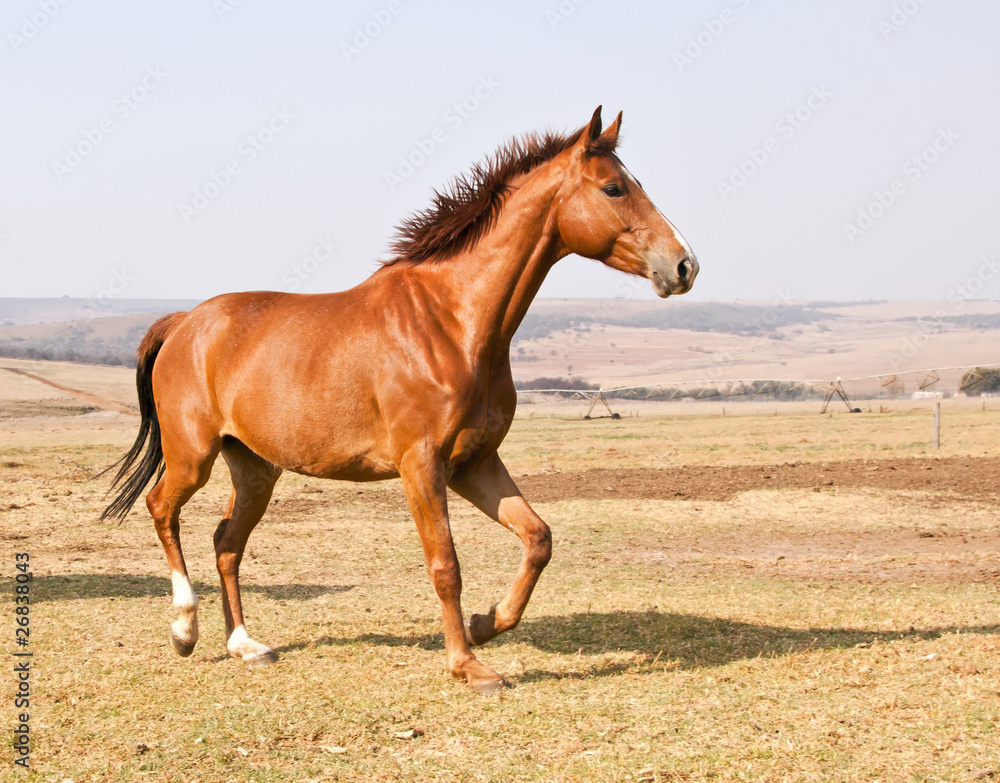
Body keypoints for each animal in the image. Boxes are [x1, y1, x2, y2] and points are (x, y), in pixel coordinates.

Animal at [102, 107, 698, 693]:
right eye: (614, 188)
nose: (684, 265)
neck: (451, 321)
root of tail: (185, 322)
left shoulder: (474, 463)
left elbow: (537, 538)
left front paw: (485, 624)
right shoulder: (422, 466)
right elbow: (445, 565)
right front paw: (468, 666)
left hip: (255, 469)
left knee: (226, 542)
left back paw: (246, 645)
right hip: (192, 458)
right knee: (162, 509)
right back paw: (184, 629)